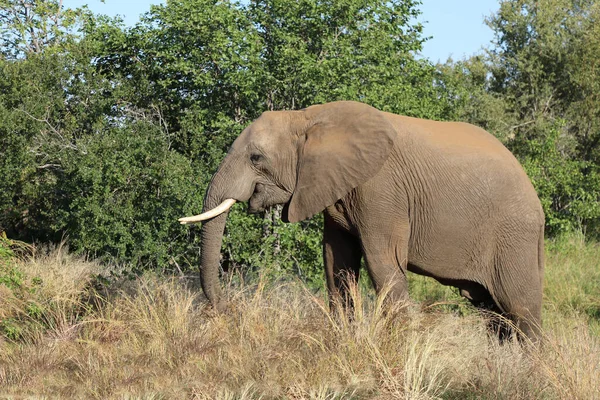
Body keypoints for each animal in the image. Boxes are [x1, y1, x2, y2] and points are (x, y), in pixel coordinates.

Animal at [178, 100, 544, 340]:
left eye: (256, 158)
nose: (225, 311)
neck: (308, 118)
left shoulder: (381, 189)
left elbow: (383, 263)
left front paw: (398, 346)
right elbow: (336, 262)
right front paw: (343, 339)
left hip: (514, 235)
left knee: (520, 308)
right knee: (492, 312)